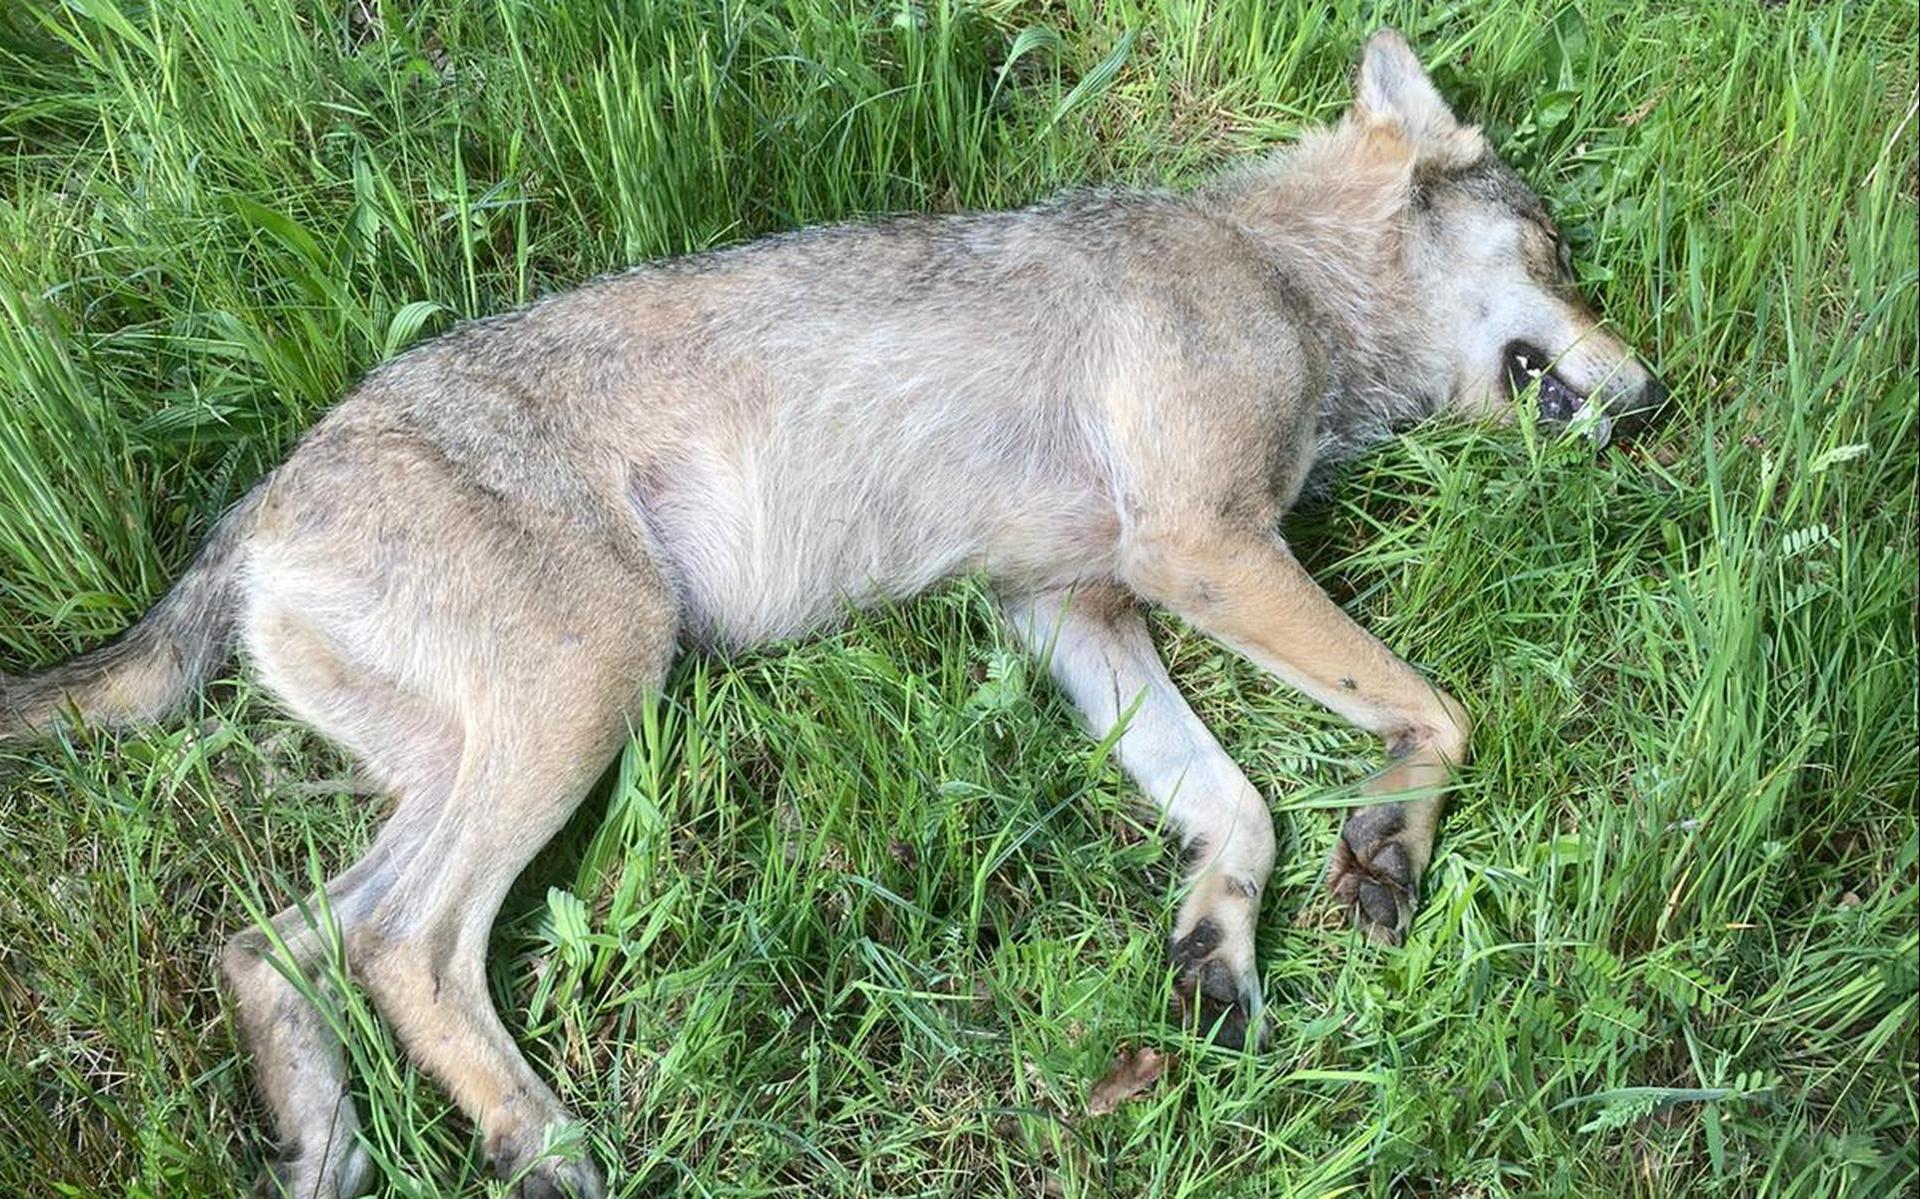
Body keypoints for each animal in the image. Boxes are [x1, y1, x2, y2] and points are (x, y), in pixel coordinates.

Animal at [0, 29, 1667, 1198]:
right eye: (1561, 255)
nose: (1651, 400)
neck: (1285, 271)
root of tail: (262, 504)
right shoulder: (1202, 550)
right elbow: (1441, 704)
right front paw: (1388, 843)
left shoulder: (1074, 609)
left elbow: (1237, 804)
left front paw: (1220, 946)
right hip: (598, 688)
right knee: (406, 944)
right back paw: (544, 1145)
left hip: (471, 761)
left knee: (276, 938)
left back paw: (328, 1138)